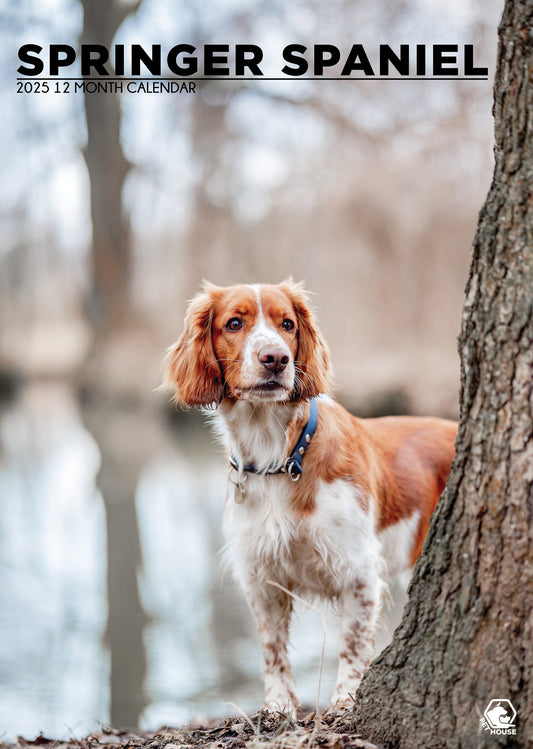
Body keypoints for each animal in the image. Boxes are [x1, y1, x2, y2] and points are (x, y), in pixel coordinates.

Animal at [163, 280, 458, 712]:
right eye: (234, 323)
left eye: (287, 323)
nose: (276, 359)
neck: (279, 457)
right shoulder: (260, 576)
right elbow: (271, 648)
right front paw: (278, 707)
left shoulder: (360, 569)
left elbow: (352, 645)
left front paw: (345, 701)